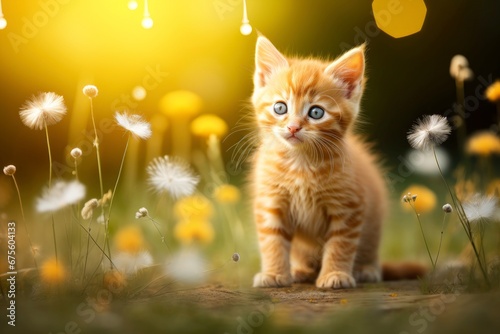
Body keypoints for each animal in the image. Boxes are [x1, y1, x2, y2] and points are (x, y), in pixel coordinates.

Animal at [250, 36, 386, 288]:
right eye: (280, 107)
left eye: (316, 112)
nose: (293, 127)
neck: (300, 163)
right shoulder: (270, 201)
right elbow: (272, 240)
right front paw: (274, 274)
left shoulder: (349, 207)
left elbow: (341, 244)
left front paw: (335, 274)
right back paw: (301, 270)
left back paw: (366, 269)